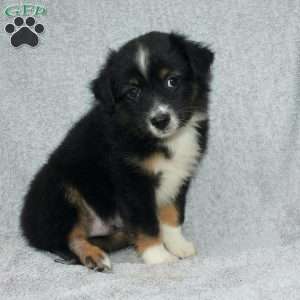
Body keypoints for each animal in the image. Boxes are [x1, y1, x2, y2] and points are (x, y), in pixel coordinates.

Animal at [20, 32, 213, 272]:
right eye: (133, 92)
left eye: (172, 81)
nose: (160, 120)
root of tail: (26, 226)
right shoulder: (132, 180)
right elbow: (146, 222)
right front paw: (158, 256)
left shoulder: (179, 175)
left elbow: (172, 213)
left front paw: (178, 245)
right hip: (60, 190)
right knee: (70, 238)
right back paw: (94, 256)